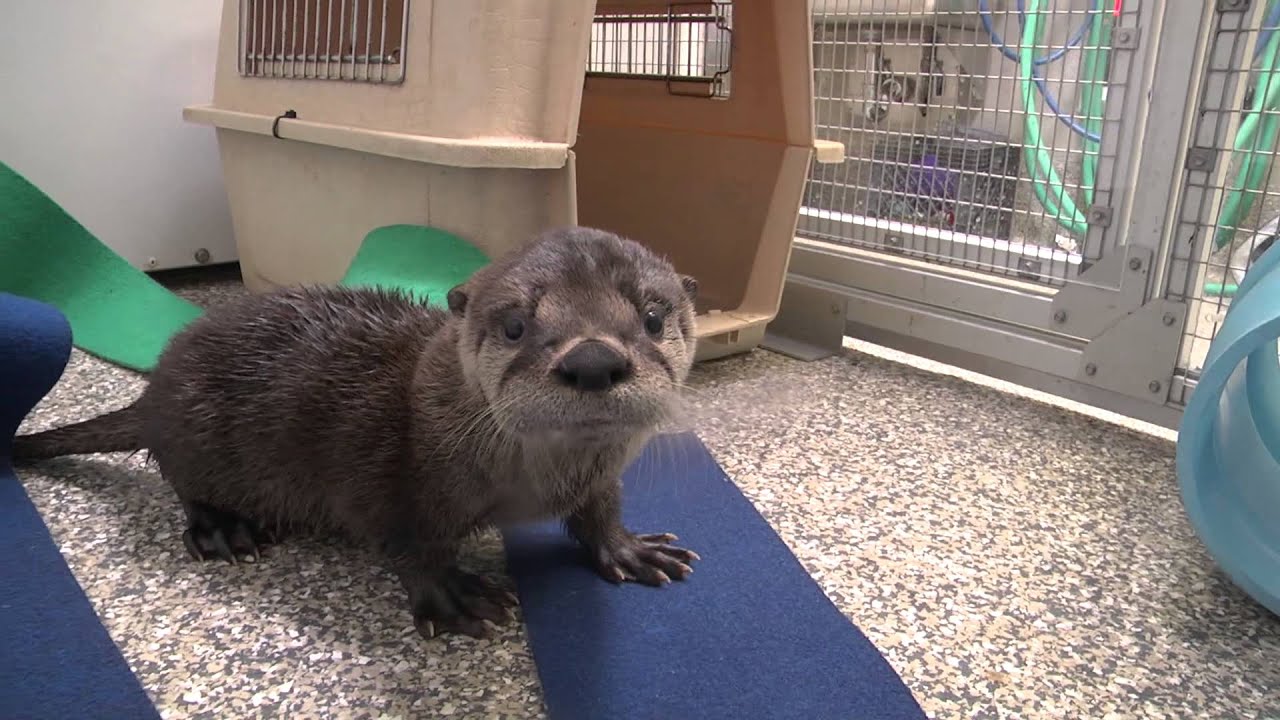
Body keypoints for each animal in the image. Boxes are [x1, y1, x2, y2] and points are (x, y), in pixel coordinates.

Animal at [13, 226, 701, 639]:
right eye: (514, 325)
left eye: (653, 316)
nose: (593, 360)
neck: (534, 484)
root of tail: (155, 386)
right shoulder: (389, 480)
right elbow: (410, 544)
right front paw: (455, 596)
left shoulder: (598, 478)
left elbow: (599, 513)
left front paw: (631, 549)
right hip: (193, 428)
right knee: (181, 480)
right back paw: (226, 529)